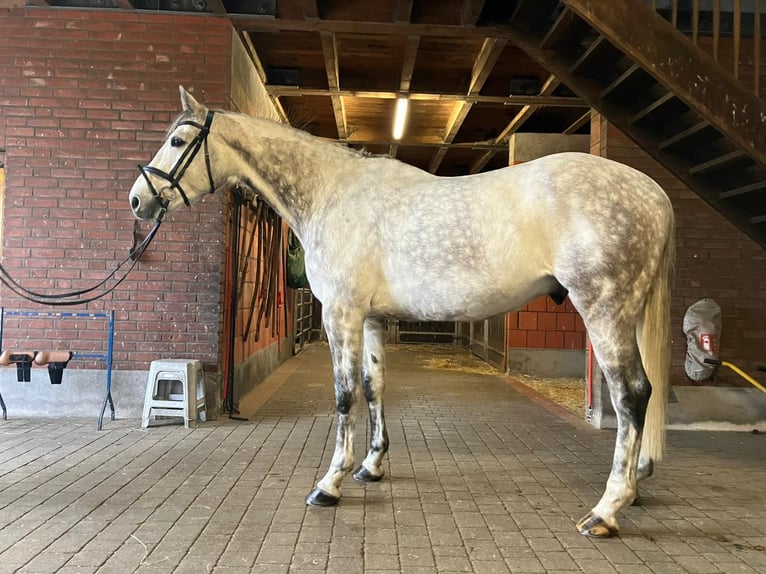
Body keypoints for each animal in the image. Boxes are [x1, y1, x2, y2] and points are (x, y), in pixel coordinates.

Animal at [129, 86, 676, 540]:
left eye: (178, 140)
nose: (138, 200)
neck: (332, 193)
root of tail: (653, 193)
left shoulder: (341, 315)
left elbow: (344, 395)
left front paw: (330, 483)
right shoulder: (371, 319)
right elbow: (374, 387)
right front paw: (370, 466)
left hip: (604, 309)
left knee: (632, 395)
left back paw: (605, 511)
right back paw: (634, 485)